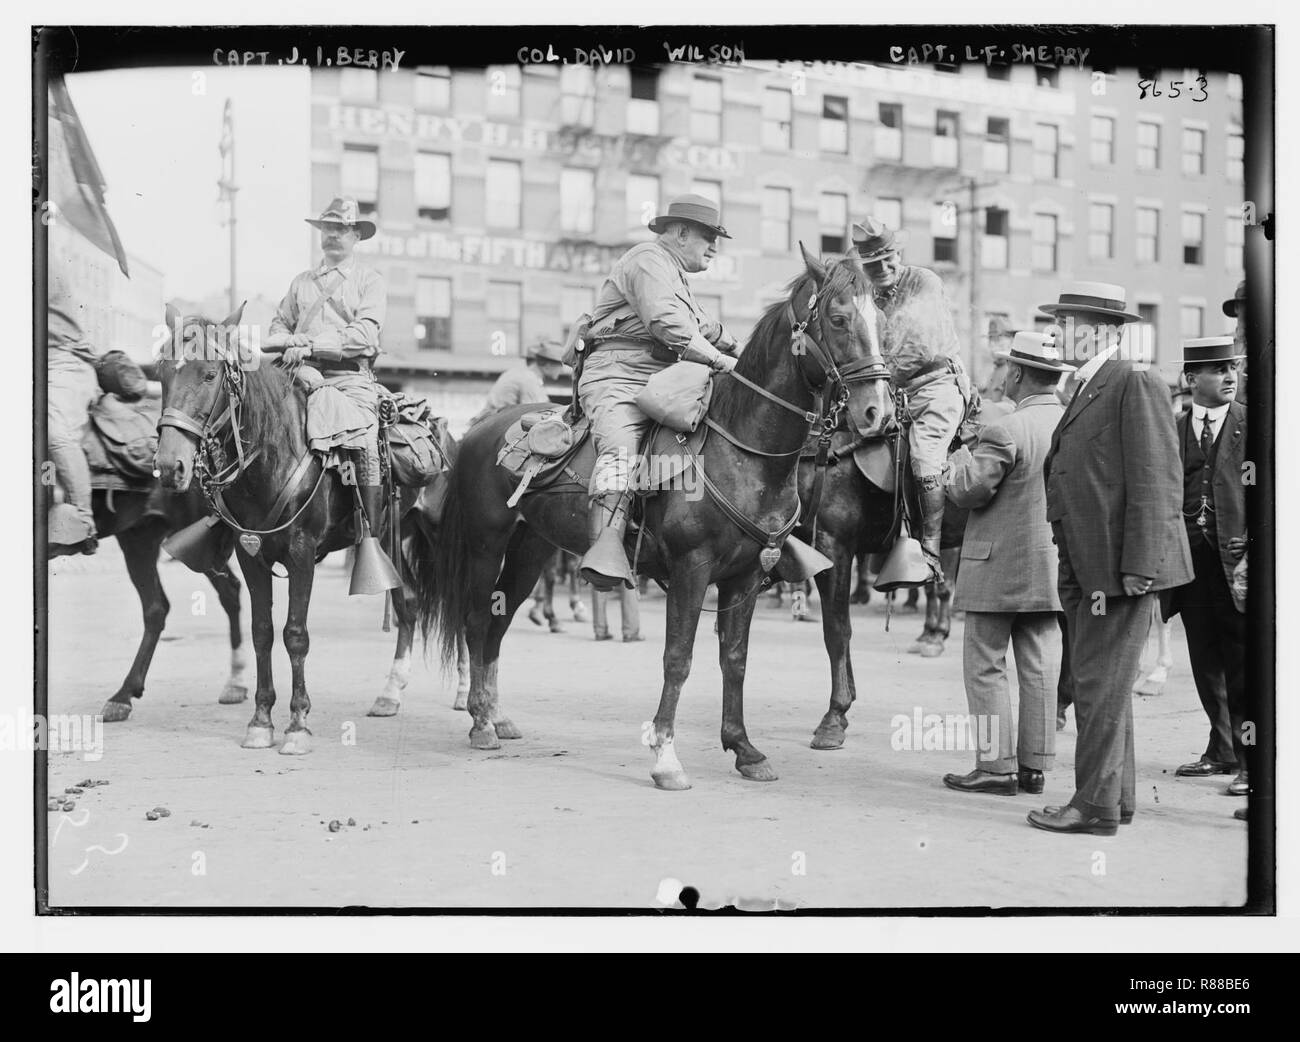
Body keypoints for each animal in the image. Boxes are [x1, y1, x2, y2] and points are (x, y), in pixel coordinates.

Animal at [154, 304, 457, 753]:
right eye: (162, 373)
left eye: (209, 374)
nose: (169, 465)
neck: (274, 453)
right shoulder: (251, 555)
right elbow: (262, 632)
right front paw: (261, 720)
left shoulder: (301, 554)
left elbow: (295, 634)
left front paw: (297, 724)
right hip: (394, 541)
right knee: (410, 605)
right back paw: (390, 693)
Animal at [413, 248, 894, 789]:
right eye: (838, 319)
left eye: (883, 322)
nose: (877, 413)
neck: (744, 455)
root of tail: (476, 431)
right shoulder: (691, 571)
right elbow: (678, 659)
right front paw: (665, 756)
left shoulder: (746, 576)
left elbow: (735, 659)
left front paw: (744, 748)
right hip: (484, 547)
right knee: (476, 622)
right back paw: (479, 721)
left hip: (529, 555)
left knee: (497, 625)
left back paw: (497, 716)